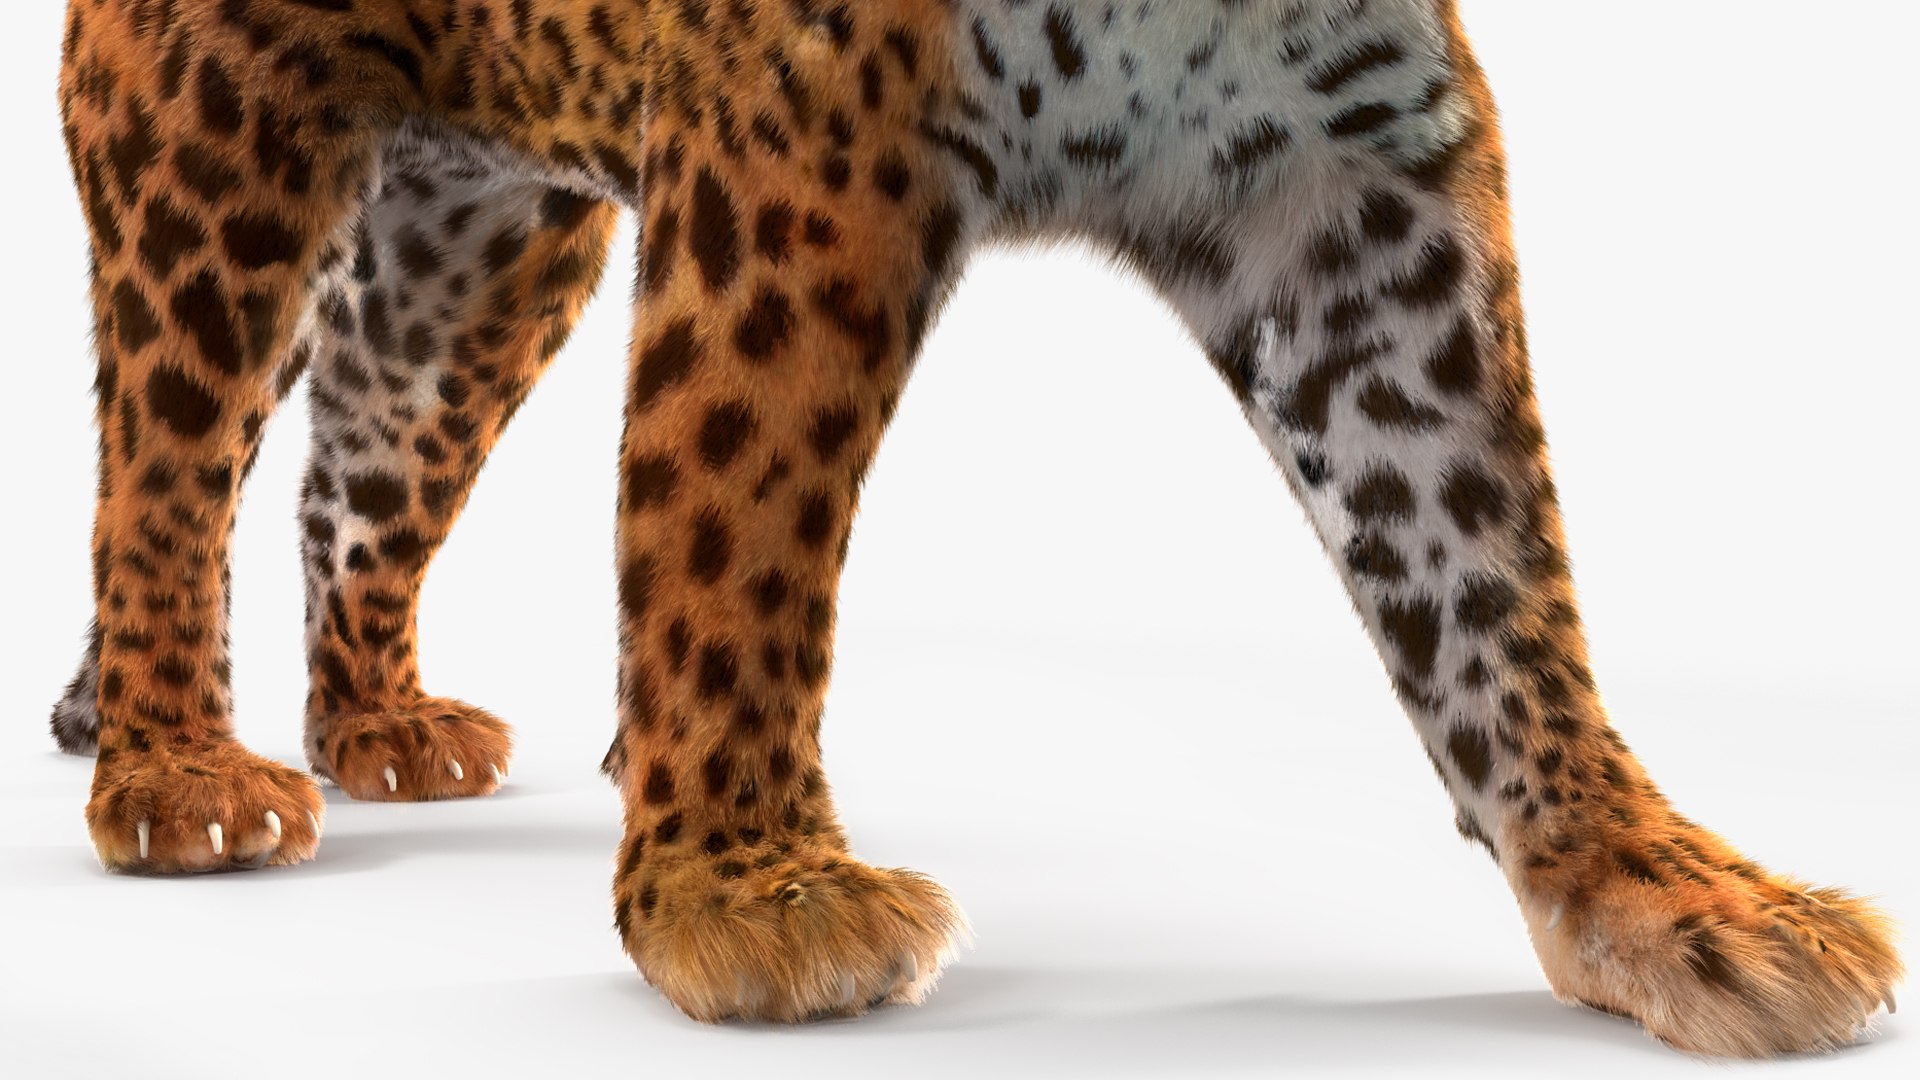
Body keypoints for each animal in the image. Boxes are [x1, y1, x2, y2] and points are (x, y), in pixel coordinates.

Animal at [48, 0, 1901, 1058]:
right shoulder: (801, 137)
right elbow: (733, 528)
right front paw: (750, 892)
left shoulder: (1354, 181)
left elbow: (1485, 554)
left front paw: (1662, 894)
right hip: (214, 159)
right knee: (162, 480)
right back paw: (175, 773)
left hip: (482, 261)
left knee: (348, 470)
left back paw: (376, 723)